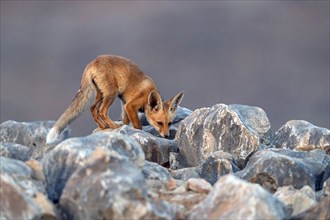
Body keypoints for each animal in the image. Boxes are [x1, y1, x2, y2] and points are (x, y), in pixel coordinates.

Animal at [46, 54, 184, 144]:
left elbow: (125, 121)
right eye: (159, 123)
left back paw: (103, 126)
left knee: (92, 108)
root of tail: (92, 62)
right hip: (111, 94)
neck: (148, 94)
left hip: (100, 94)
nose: (166, 136)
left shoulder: (124, 104)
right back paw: (113, 126)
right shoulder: (130, 105)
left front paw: (125, 128)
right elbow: (137, 126)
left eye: (170, 123)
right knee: (102, 111)